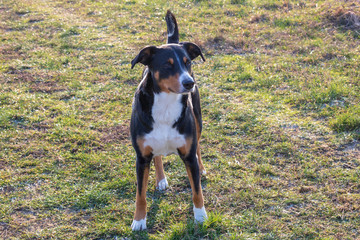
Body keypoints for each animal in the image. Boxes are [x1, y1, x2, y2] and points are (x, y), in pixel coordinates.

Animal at [131, 9, 207, 231]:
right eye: (167, 64)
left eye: (188, 62)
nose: (189, 83)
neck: (166, 104)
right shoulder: (141, 158)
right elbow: (140, 195)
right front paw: (139, 220)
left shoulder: (188, 155)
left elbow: (197, 190)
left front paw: (201, 217)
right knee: (157, 156)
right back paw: (161, 179)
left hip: (198, 120)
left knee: (199, 145)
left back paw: (202, 168)